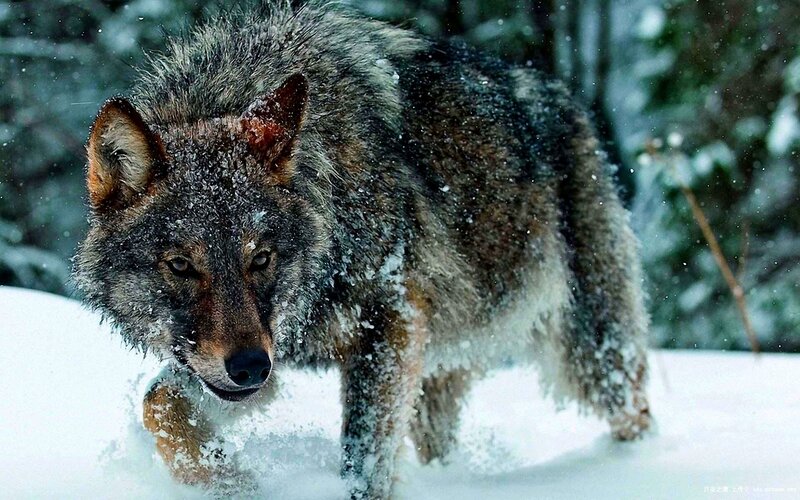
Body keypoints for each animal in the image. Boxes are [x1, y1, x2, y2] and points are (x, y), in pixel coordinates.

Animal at [74, 2, 651, 498]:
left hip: (591, 353)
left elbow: (363, 461)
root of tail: (567, 98)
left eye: (261, 258)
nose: (251, 369)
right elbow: (159, 402)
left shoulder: (386, 321)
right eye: (180, 266)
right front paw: (227, 481)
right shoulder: (261, 352)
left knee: (636, 411)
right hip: (434, 381)